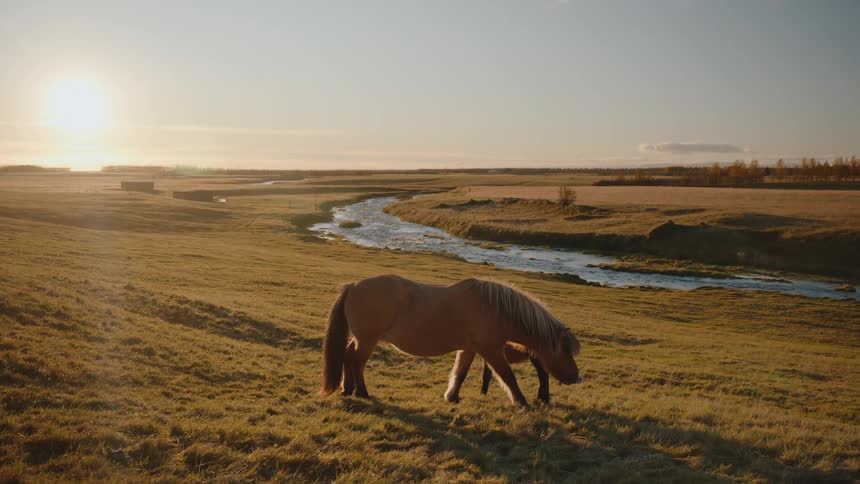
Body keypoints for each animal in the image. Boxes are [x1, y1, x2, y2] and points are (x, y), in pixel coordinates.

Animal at [319, 275, 581, 406]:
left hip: (362, 339)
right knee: (356, 361)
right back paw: (361, 392)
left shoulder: (469, 349)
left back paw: (347, 389)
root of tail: (353, 286)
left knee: (348, 355)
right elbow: (508, 376)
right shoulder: (492, 351)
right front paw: (521, 401)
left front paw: (451, 396)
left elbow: (460, 373)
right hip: (368, 340)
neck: (494, 308)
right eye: (566, 351)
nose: (576, 378)